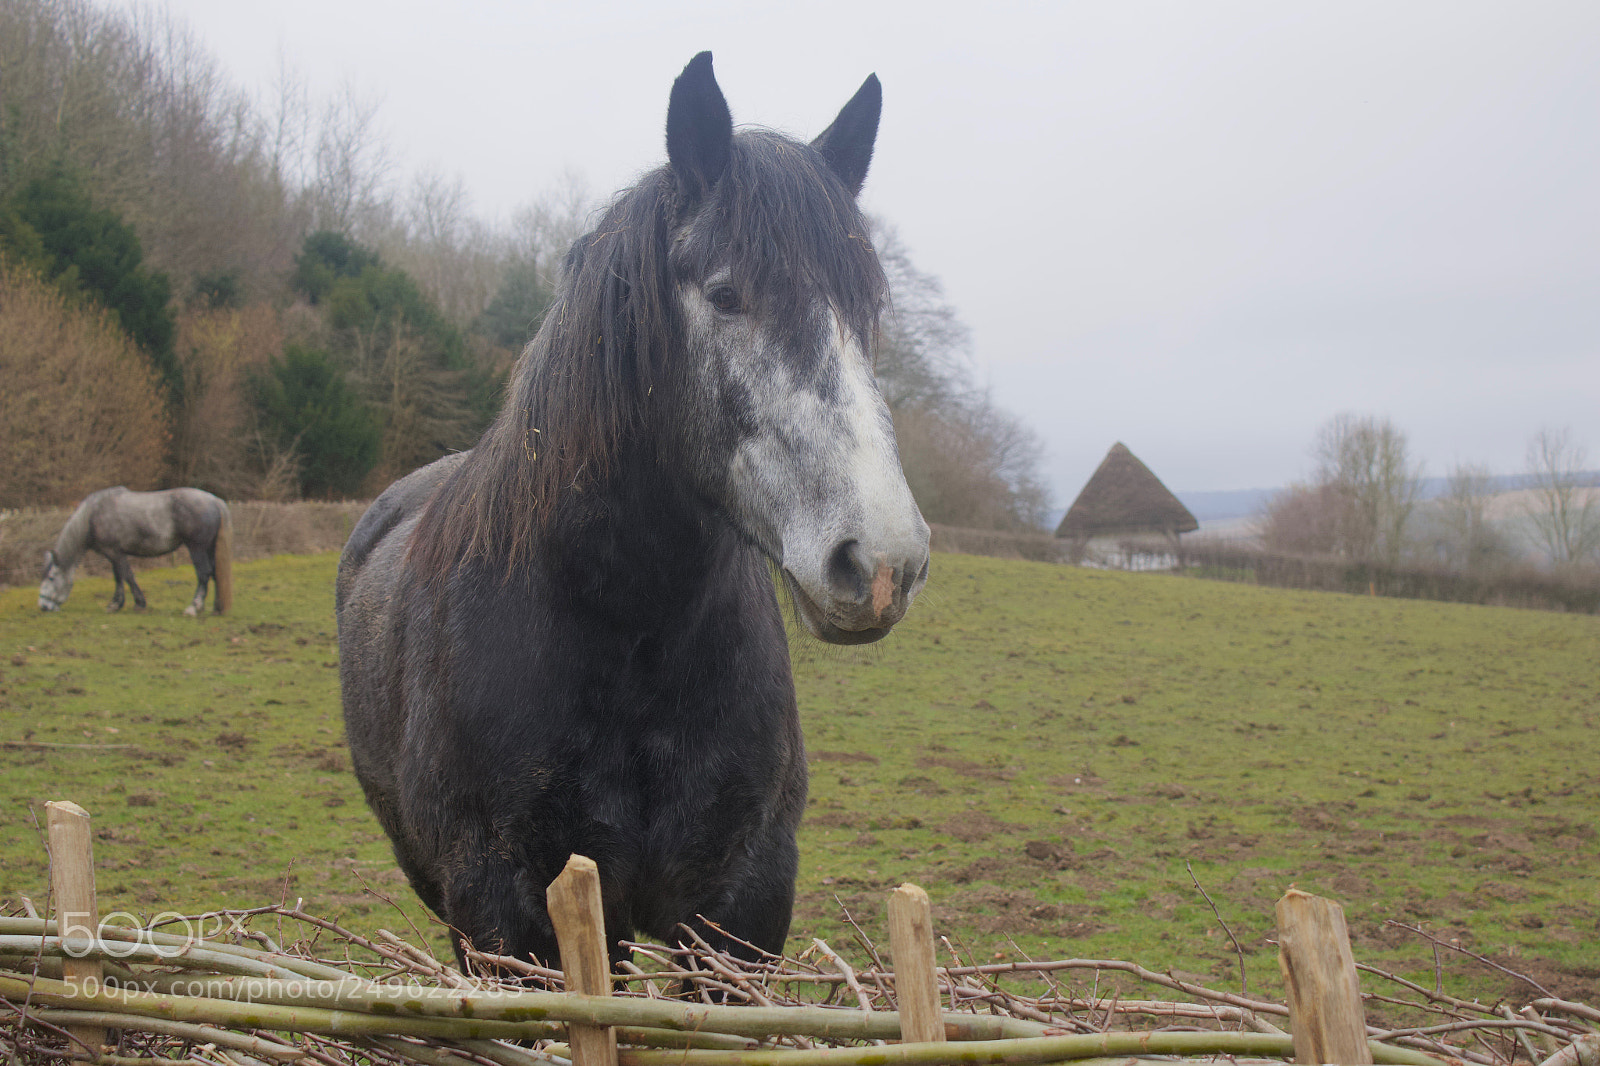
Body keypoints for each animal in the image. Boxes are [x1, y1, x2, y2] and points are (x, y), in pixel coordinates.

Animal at [38, 487, 234, 616]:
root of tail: (214, 500)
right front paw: (119, 604)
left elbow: (126, 576)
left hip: (197, 548)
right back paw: (217, 608)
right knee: (215, 573)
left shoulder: (114, 553)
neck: (93, 515)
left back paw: (194, 607)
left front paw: (132, 603)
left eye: (51, 578)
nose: (43, 606)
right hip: (209, 549)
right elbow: (120, 577)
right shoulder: (115, 554)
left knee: (204, 574)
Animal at [336, 52, 929, 971]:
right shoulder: (503, 918)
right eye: (725, 294)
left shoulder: (742, 914)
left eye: (866, 307)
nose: (882, 561)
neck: (625, 627)